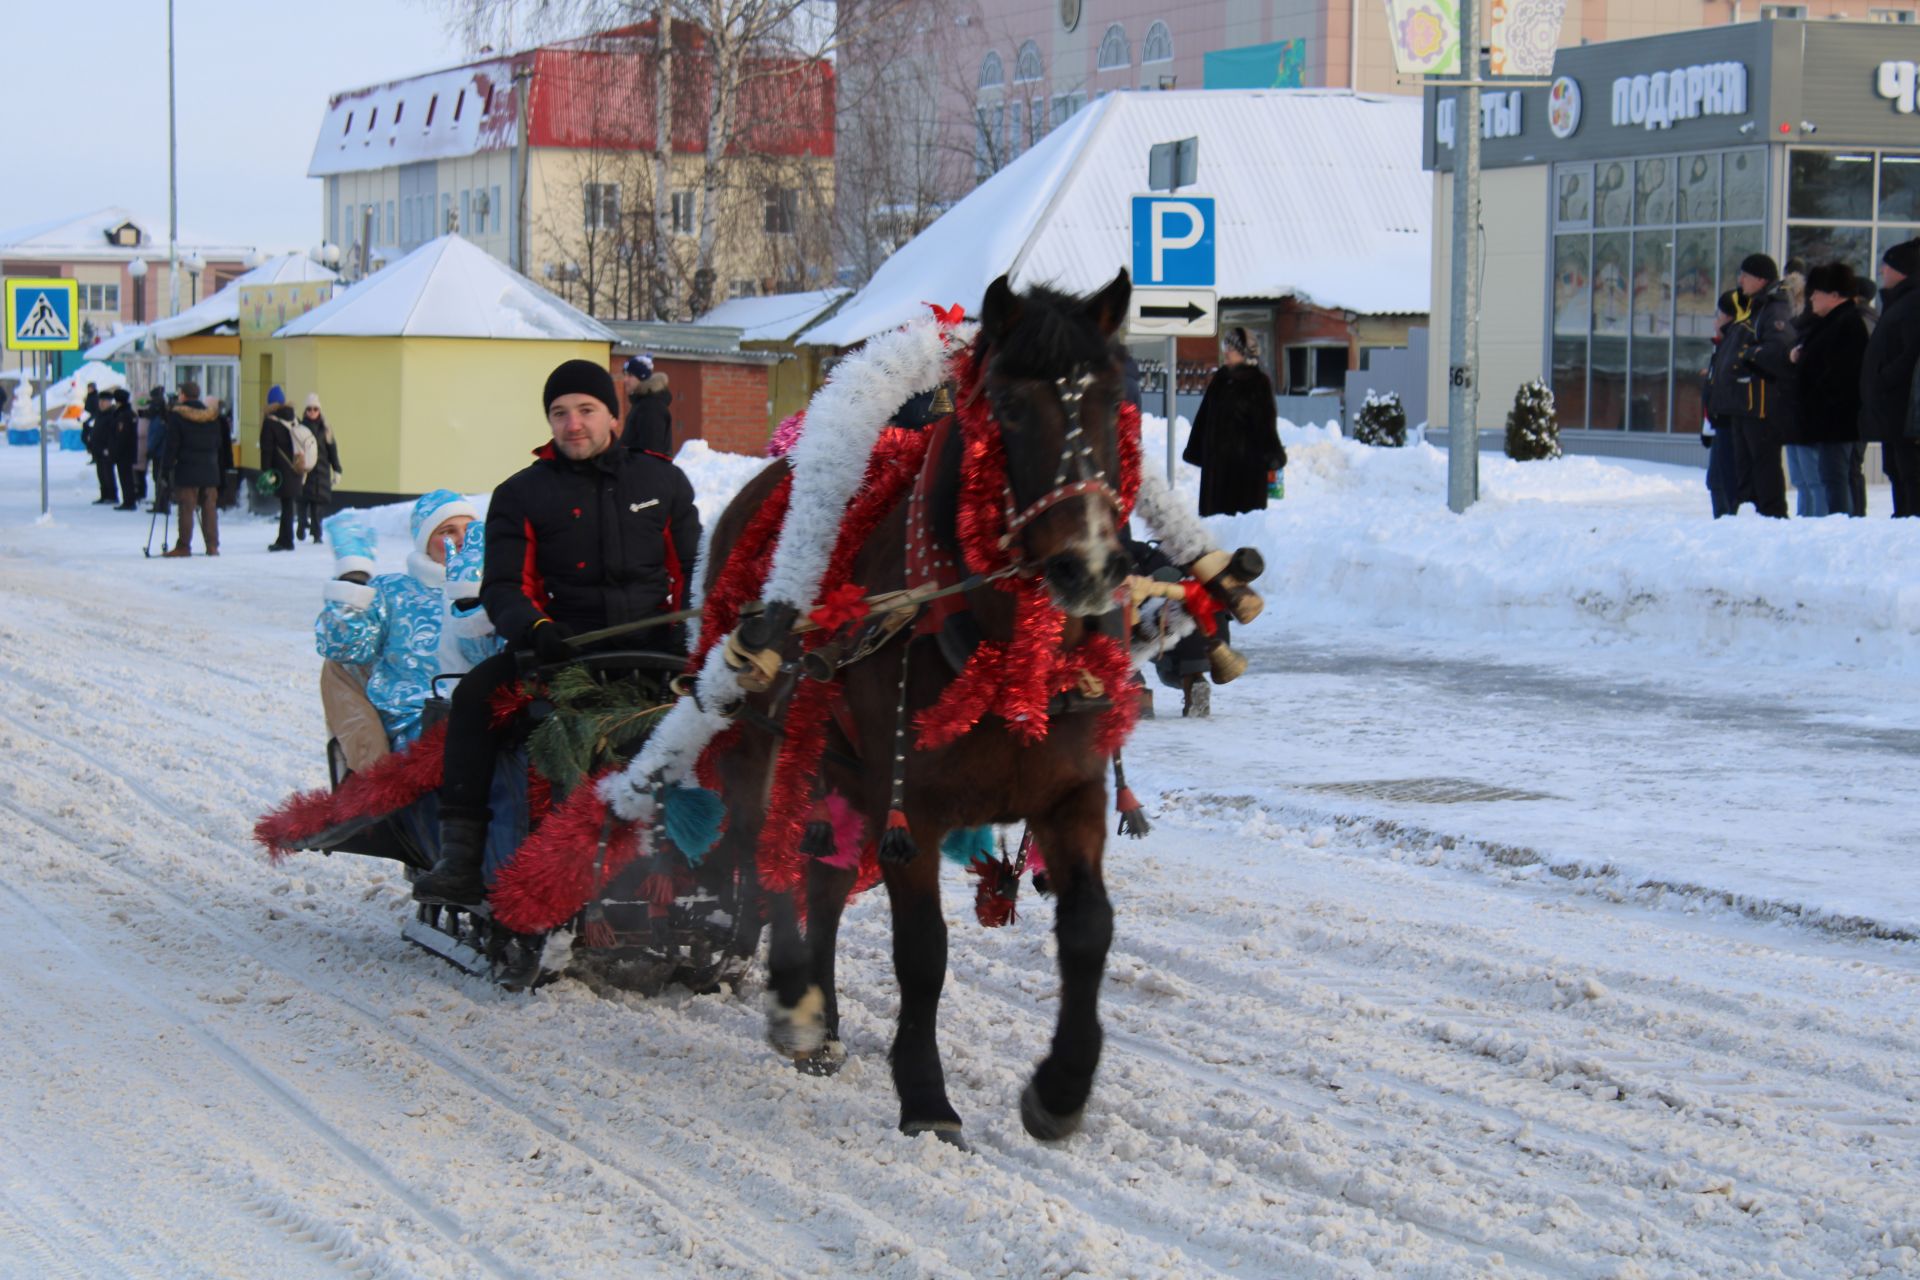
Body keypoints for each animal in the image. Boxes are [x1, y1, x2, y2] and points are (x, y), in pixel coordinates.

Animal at [706, 270, 1136, 1151]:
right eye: (1009, 407)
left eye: (1113, 399)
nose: (1088, 566)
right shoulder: (915, 806)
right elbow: (924, 952)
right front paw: (927, 1096)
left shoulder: (1070, 793)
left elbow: (1089, 928)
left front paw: (1061, 1088)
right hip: (767, 734)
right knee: (766, 849)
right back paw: (791, 996)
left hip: (838, 760)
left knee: (821, 874)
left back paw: (820, 1016)